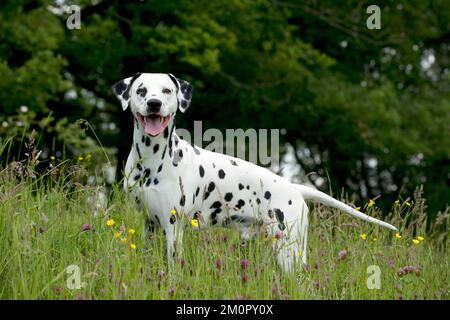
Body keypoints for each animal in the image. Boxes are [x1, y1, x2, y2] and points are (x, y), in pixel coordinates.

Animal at [113, 72, 398, 272]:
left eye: (167, 90)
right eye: (141, 90)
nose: (154, 103)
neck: (151, 161)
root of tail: (296, 188)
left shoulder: (173, 228)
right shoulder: (148, 224)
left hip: (288, 251)